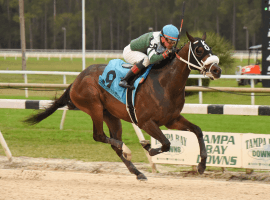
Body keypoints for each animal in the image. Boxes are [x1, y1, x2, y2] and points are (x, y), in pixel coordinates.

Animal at [24, 32, 220, 180]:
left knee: (111, 142)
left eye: (209, 48)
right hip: (94, 107)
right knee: (100, 136)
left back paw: (137, 172)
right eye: (199, 49)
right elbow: (165, 143)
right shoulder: (146, 122)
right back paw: (125, 148)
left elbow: (197, 130)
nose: (217, 70)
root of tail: (76, 80)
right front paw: (148, 147)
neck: (165, 84)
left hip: (110, 115)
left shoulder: (171, 120)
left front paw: (202, 165)